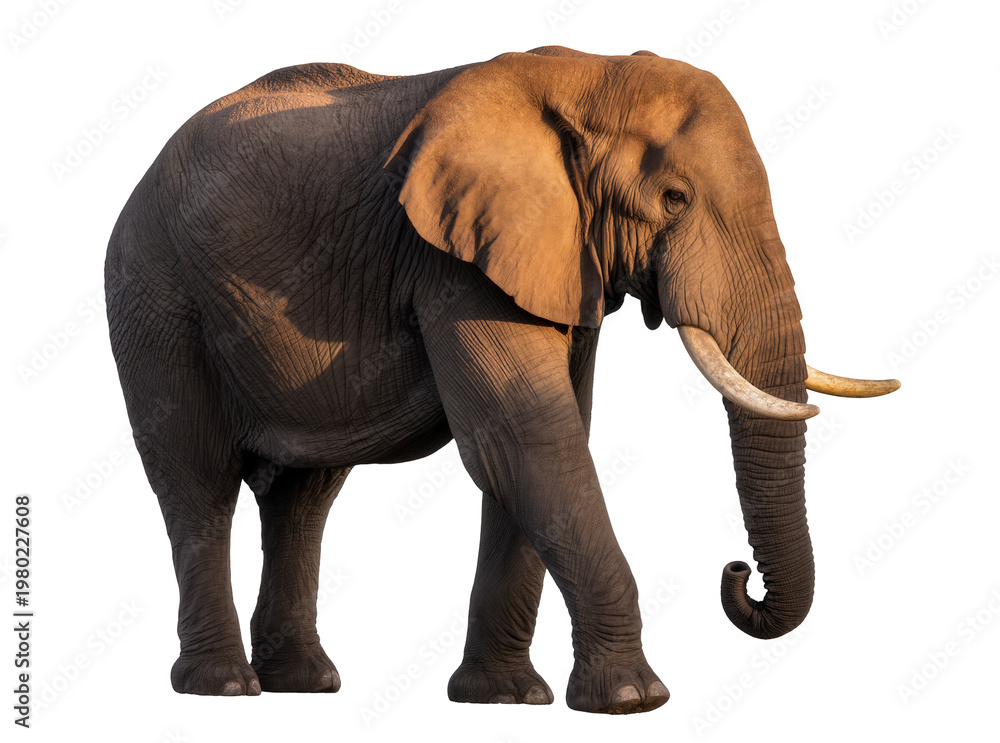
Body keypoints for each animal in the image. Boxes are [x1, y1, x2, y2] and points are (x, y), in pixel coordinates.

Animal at [104, 45, 899, 714]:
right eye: (674, 199)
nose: (737, 573)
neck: (587, 74)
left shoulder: (558, 258)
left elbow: (538, 439)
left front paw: (507, 700)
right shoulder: (452, 262)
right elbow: (529, 439)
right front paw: (633, 701)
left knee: (305, 496)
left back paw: (305, 684)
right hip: (155, 293)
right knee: (198, 479)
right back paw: (223, 687)